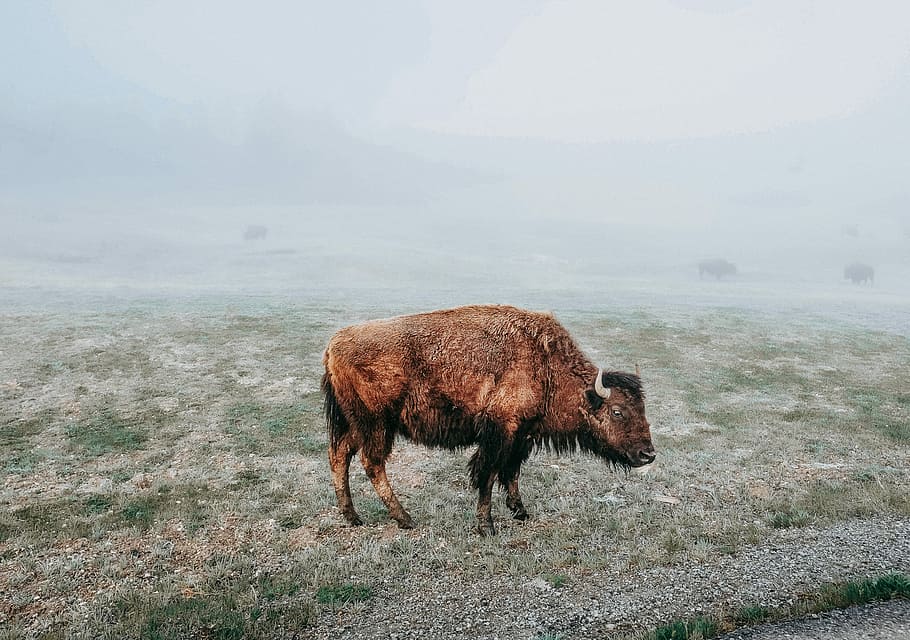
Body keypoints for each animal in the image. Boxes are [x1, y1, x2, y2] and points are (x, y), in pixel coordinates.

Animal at [322, 305, 655, 535]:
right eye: (617, 411)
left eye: (642, 408)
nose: (648, 454)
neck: (545, 365)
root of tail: (333, 344)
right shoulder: (500, 432)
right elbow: (489, 474)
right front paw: (487, 526)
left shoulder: (522, 436)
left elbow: (512, 473)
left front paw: (520, 512)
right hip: (377, 424)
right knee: (372, 463)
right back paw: (405, 518)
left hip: (354, 423)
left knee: (340, 454)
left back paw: (352, 516)